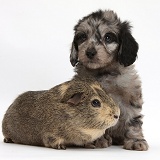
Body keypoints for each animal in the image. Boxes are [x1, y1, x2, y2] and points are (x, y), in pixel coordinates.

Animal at [70, 10, 149, 151]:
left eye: (108, 37)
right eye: (83, 37)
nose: (90, 52)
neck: (104, 73)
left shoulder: (130, 97)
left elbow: (134, 121)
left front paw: (136, 140)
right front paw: (98, 139)